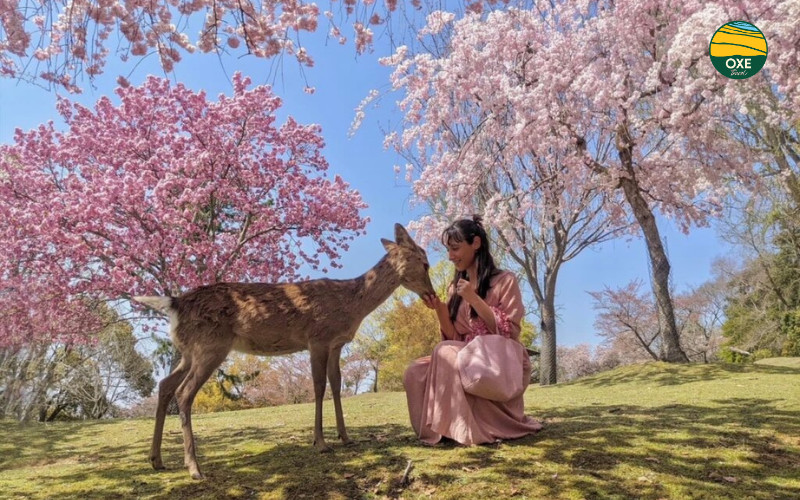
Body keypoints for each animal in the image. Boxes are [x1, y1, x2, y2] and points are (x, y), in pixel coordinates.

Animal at [133, 225, 432, 478]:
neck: (351, 305)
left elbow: (336, 384)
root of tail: (175, 304)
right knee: (184, 392)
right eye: (425, 262)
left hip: (188, 351)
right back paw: (194, 468)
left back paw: (157, 460)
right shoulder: (318, 337)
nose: (431, 294)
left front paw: (345, 437)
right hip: (211, 345)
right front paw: (320, 442)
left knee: (165, 385)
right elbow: (319, 385)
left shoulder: (336, 343)